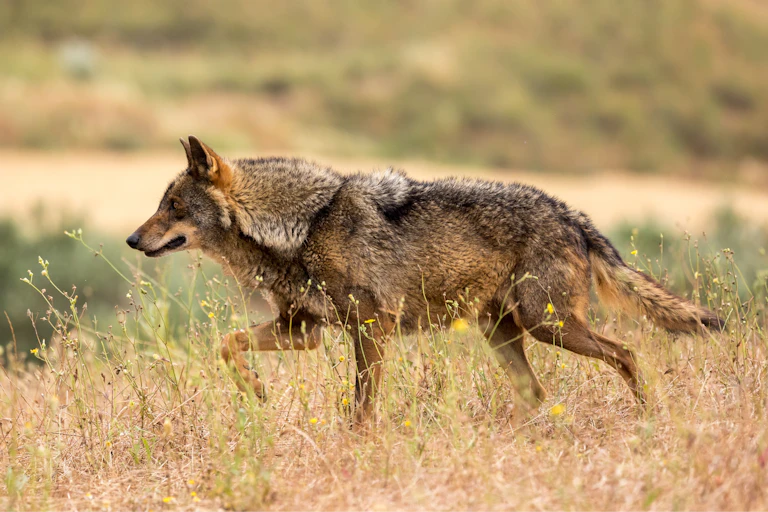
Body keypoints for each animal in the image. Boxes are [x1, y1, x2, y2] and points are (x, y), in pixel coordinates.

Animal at [126, 136, 722, 420]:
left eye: (174, 207)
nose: (132, 239)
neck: (307, 223)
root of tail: (572, 214)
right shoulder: (304, 330)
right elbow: (226, 345)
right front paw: (256, 391)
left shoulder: (372, 328)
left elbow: (363, 404)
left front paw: (359, 445)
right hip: (503, 333)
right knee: (537, 391)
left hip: (546, 326)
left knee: (627, 353)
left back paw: (647, 416)